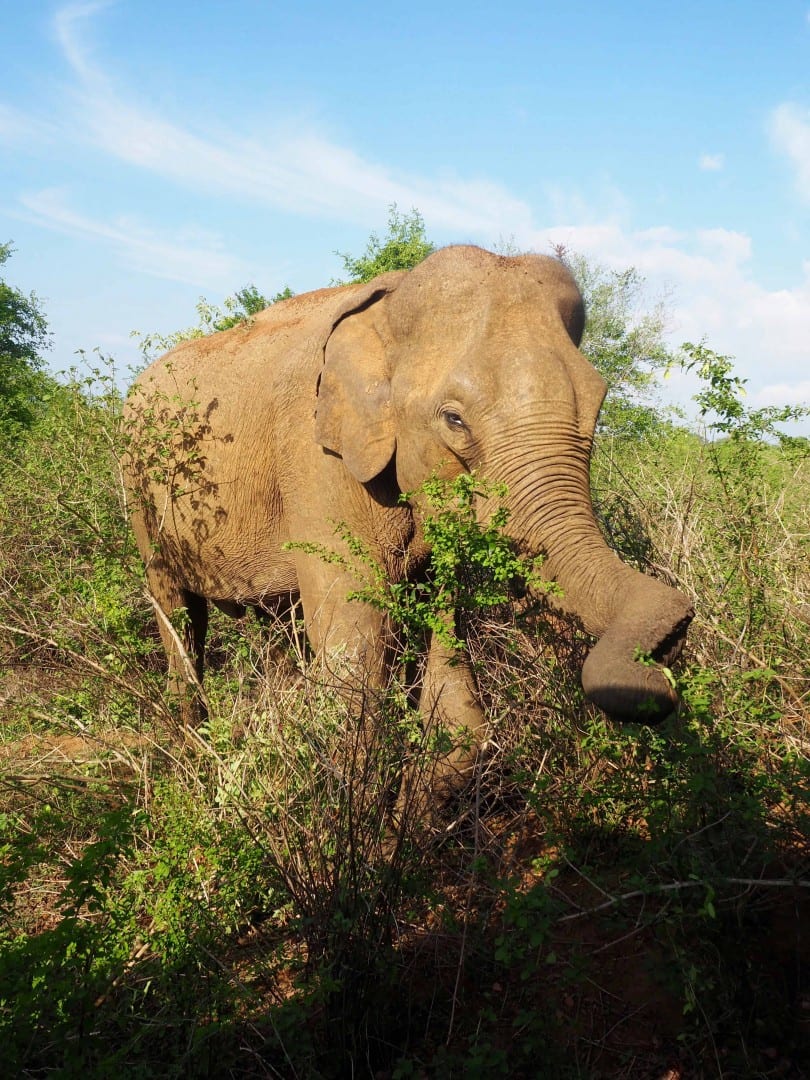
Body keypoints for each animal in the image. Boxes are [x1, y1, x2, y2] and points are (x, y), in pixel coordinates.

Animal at [123, 243, 695, 786]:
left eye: (597, 407)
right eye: (454, 420)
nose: (660, 671)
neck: (390, 306)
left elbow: (455, 702)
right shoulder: (317, 459)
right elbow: (356, 670)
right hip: (137, 487)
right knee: (177, 611)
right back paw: (193, 749)